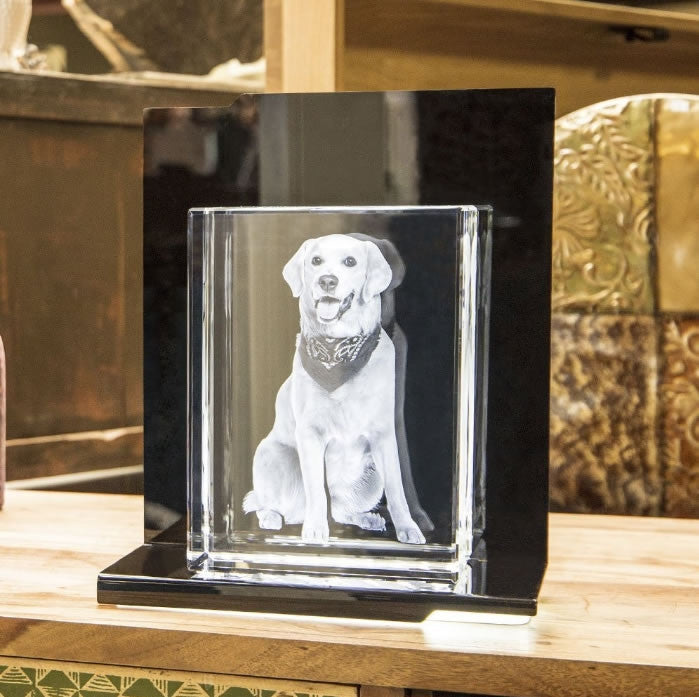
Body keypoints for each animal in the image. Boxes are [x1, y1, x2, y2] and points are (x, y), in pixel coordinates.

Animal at [243, 234, 424, 544]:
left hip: (370, 475)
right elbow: (316, 490)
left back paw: (366, 518)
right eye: (316, 260)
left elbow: (397, 489)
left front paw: (408, 528)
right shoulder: (310, 433)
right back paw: (272, 517)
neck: (337, 354)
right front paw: (316, 530)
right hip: (271, 455)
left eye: (350, 262)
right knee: (265, 501)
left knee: (340, 510)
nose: (327, 280)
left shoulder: (385, 434)